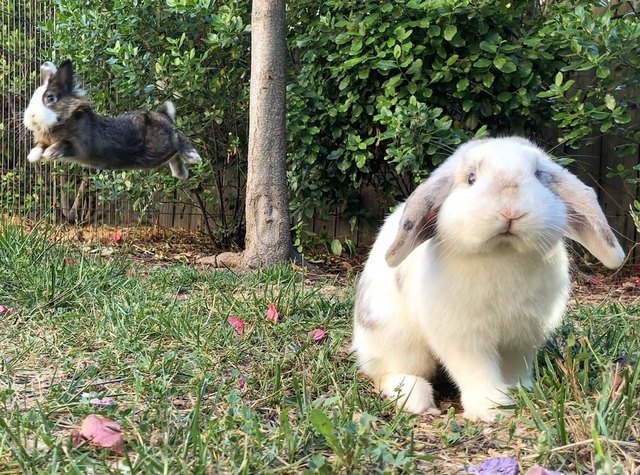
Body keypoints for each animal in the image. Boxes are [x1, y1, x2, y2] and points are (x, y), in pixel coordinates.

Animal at [23, 59, 202, 179]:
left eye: (50, 98)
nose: (30, 118)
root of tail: (164, 115)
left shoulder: (79, 145)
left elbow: (63, 144)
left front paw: (50, 152)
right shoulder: (45, 140)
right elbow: (39, 146)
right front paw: (33, 156)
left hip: (160, 147)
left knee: (179, 137)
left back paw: (193, 157)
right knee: (175, 151)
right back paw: (180, 173)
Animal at [352, 137, 625, 422]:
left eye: (538, 175)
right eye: (471, 178)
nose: (510, 210)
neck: (502, 253)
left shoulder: (523, 336)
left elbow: (515, 368)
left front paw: (521, 392)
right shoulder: (464, 336)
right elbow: (476, 370)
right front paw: (492, 408)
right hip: (396, 341)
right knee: (390, 373)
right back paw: (416, 398)